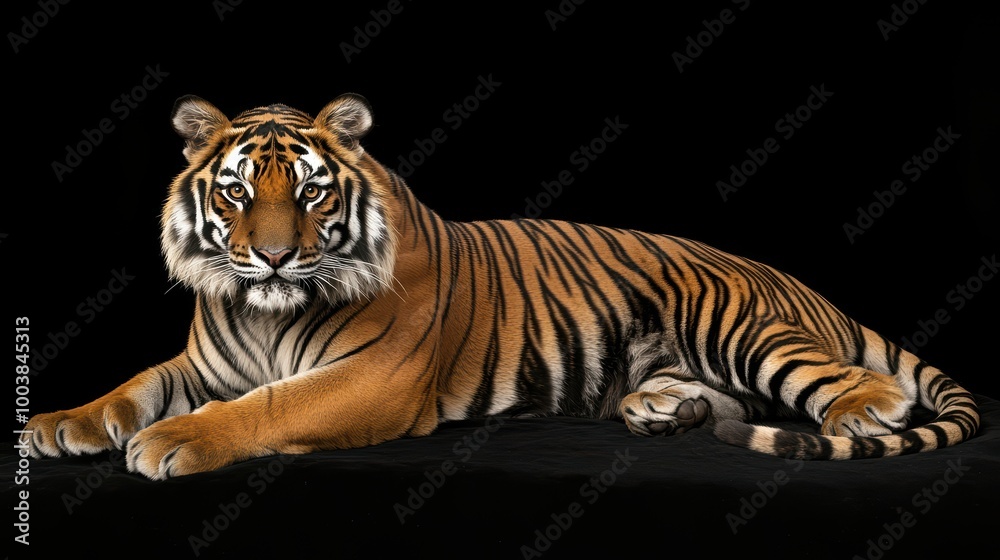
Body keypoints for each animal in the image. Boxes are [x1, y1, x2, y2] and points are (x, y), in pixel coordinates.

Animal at [23, 94, 980, 480]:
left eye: (309, 192)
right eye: (234, 192)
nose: (273, 258)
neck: (259, 311)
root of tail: (795, 279)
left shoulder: (372, 379)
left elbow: (262, 406)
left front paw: (171, 443)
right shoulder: (202, 363)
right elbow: (134, 386)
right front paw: (62, 425)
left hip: (739, 324)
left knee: (863, 385)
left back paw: (855, 417)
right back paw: (666, 411)